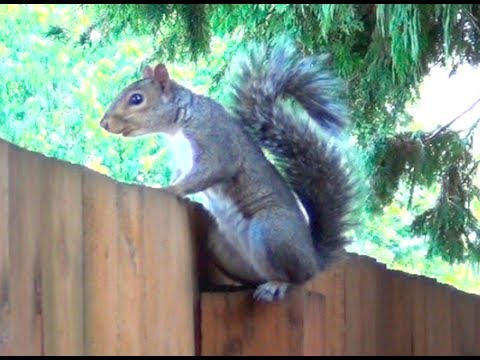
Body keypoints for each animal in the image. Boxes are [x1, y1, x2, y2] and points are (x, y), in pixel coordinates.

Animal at [100, 38, 356, 300]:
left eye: (136, 99)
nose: (104, 123)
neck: (179, 124)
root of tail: (313, 260)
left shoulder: (216, 142)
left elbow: (209, 172)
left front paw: (170, 190)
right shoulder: (183, 162)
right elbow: (184, 175)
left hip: (270, 229)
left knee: (295, 279)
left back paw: (277, 284)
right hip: (221, 247)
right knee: (256, 275)